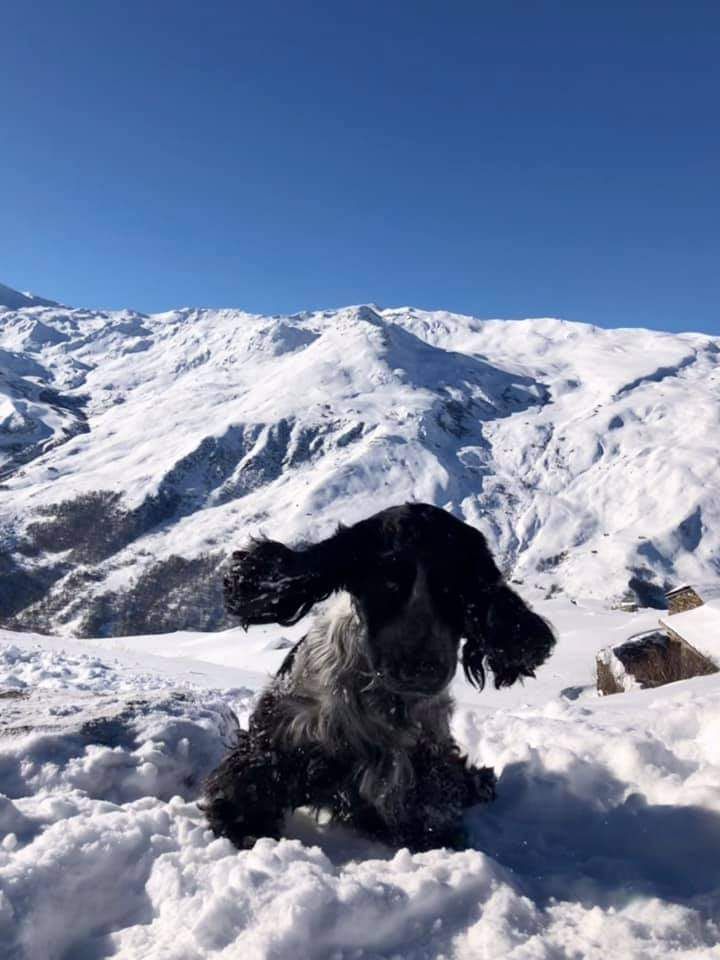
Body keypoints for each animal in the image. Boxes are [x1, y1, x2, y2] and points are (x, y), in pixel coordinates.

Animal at [204, 498, 556, 852]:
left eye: (453, 588)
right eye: (387, 582)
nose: (420, 669)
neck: (381, 698)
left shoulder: (422, 761)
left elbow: (427, 809)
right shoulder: (285, 732)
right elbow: (251, 781)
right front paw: (244, 826)